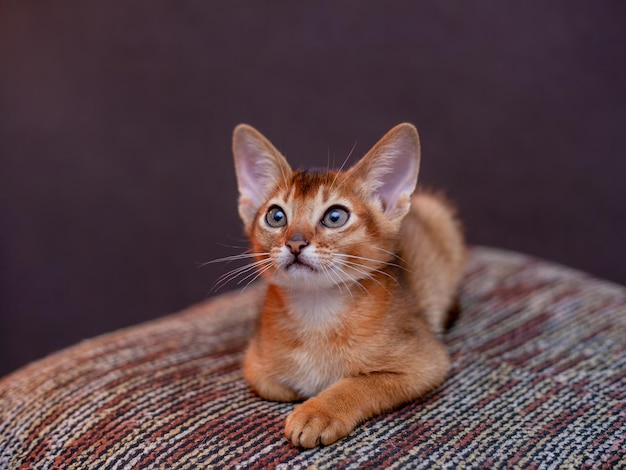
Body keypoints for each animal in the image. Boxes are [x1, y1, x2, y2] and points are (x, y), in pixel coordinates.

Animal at [229, 122, 464, 448]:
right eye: (276, 216)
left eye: (335, 216)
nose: (295, 243)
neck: (317, 312)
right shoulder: (255, 362)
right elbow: (272, 384)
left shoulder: (426, 363)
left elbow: (360, 383)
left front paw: (317, 412)